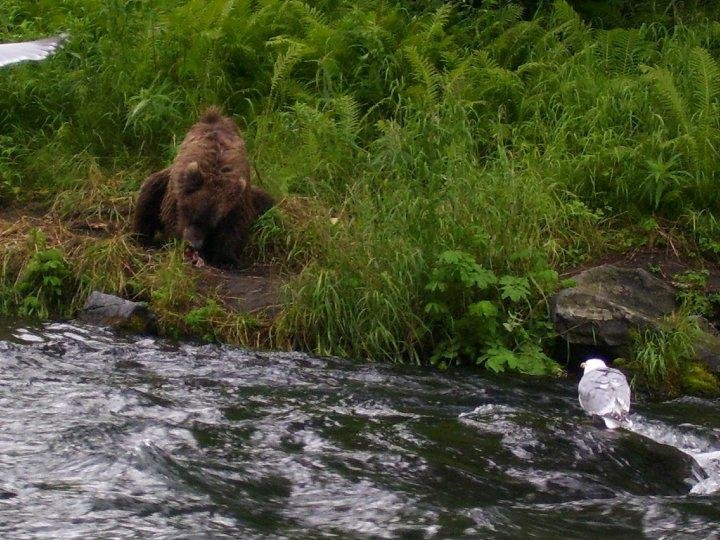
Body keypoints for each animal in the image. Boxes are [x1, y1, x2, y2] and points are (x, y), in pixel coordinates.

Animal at [132, 107, 274, 267]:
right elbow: (169, 215)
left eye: (212, 224)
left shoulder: (236, 200)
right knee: (148, 194)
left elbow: (234, 227)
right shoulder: (176, 192)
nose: (193, 244)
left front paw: (227, 259)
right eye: (189, 212)